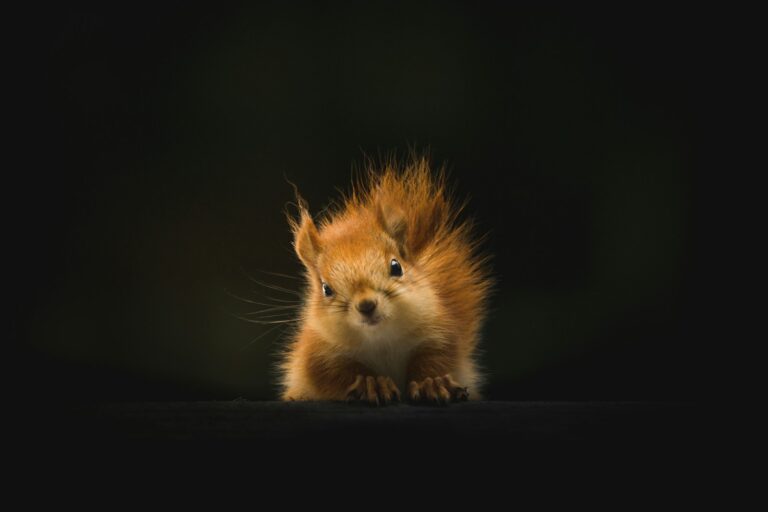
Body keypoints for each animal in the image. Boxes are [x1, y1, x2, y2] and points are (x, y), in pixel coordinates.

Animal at [279, 155, 491, 405]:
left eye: (396, 267)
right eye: (326, 289)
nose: (366, 305)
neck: (381, 339)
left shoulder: (438, 332)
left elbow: (436, 359)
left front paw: (432, 382)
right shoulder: (318, 354)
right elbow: (336, 374)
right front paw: (371, 383)